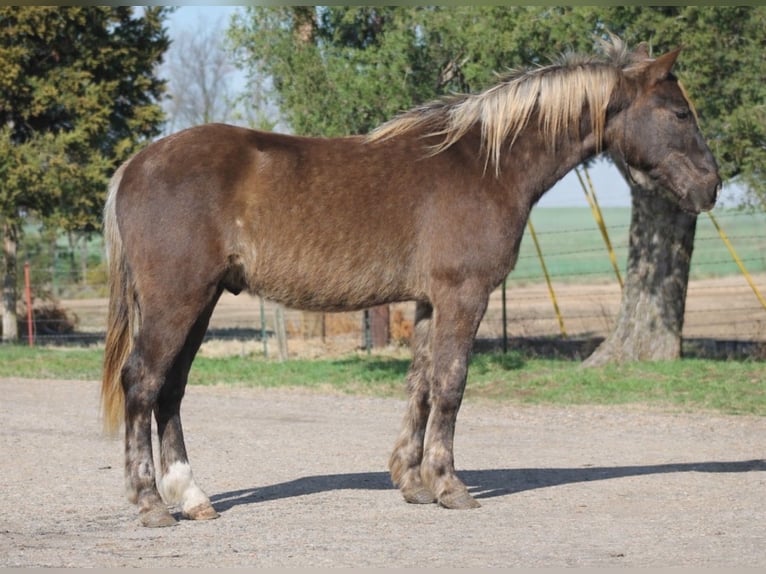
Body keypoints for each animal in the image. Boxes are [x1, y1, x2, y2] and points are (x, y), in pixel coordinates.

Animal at [101, 36, 721, 527]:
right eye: (679, 113)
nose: (711, 187)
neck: (485, 165)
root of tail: (135, 165)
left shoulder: (427, 302)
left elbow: (420, 385)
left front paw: (411, 481)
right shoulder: (463, 296)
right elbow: (450, 385)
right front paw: (450, 486)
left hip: (199, 302)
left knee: (171, 389)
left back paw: (192, 496)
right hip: (177, 301)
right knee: (143, 382)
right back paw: (151, 503)